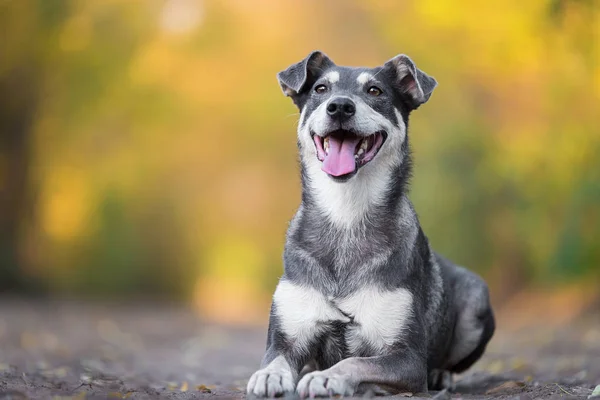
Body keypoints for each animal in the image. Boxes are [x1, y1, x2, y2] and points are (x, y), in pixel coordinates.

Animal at [246, 51, 494, 398]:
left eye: (375, 91)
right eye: (321, 89)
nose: (339, 106)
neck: (346, 213)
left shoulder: (406, 358)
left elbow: (355, 362)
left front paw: (327, 378)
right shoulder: (287, 337)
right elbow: (276, 359)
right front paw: (269, 375)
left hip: (477, 301)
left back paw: (441, 375)